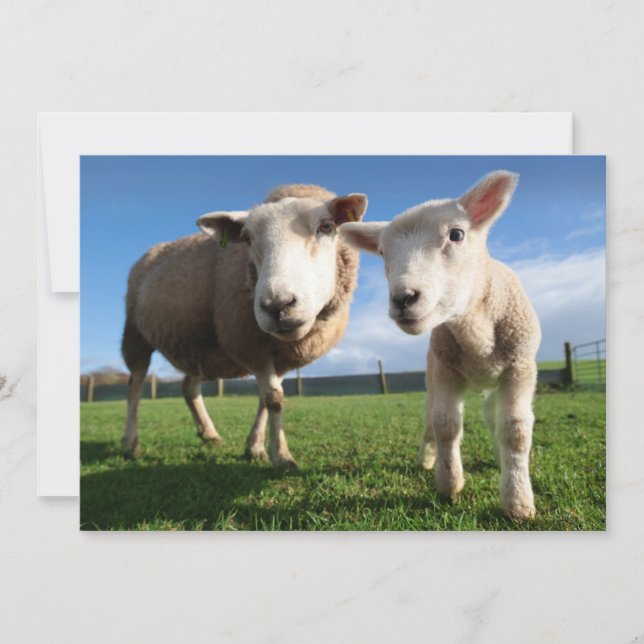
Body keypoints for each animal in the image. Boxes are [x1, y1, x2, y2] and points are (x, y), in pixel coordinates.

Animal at [121, 184, 367, 470]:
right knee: (135, 387)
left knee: (188, 387)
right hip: (135, 335)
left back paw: (209, 434)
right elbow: (274, 399)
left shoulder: (279, 356)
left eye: (327, 226)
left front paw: (255, 447)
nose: (277, 305)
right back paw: (129, 443)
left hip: (198, 345)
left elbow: (267, 398)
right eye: (247, 238)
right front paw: (282, 457)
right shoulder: (251, 345)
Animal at [340, 171, 540, 519]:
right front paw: (449, 484)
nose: (403, 298)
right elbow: (445, 425)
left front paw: (518, 501)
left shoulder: (520, 369)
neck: (475, 332)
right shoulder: (446, 370)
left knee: (493, 417)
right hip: (432, 374)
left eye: (457, 234)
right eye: (382, 252)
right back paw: (426, 459)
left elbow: (515, 430)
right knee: (430, 419)